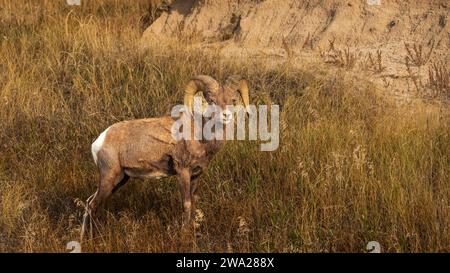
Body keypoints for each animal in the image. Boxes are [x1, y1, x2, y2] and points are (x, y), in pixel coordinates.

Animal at [81, 74, 250, 238]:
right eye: (212, 101)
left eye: (233, 100)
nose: (226, 115)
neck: (202, 136)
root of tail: (99, 141)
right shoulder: (183, 172)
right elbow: (187, 203)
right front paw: (184, 233)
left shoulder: (196, 175)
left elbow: (194, 202)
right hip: (109, 177)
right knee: (93, 205)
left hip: (120, 179)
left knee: (90, 202)